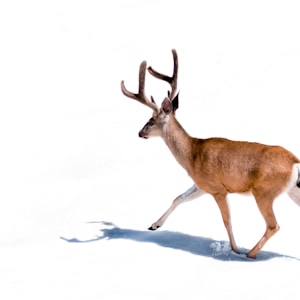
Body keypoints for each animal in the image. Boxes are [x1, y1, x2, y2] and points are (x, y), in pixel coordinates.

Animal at [120, 48, 300, 258]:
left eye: (150, 120)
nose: (140, 133)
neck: (192, 154)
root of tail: (295, 162)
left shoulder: (217, 188)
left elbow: (227, 221)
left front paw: (235, 249)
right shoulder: (201, 184)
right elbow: (178, 197)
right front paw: (154, 225)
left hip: (264, 192)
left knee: (273, 225)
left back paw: (249, 254)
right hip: (292, 189)